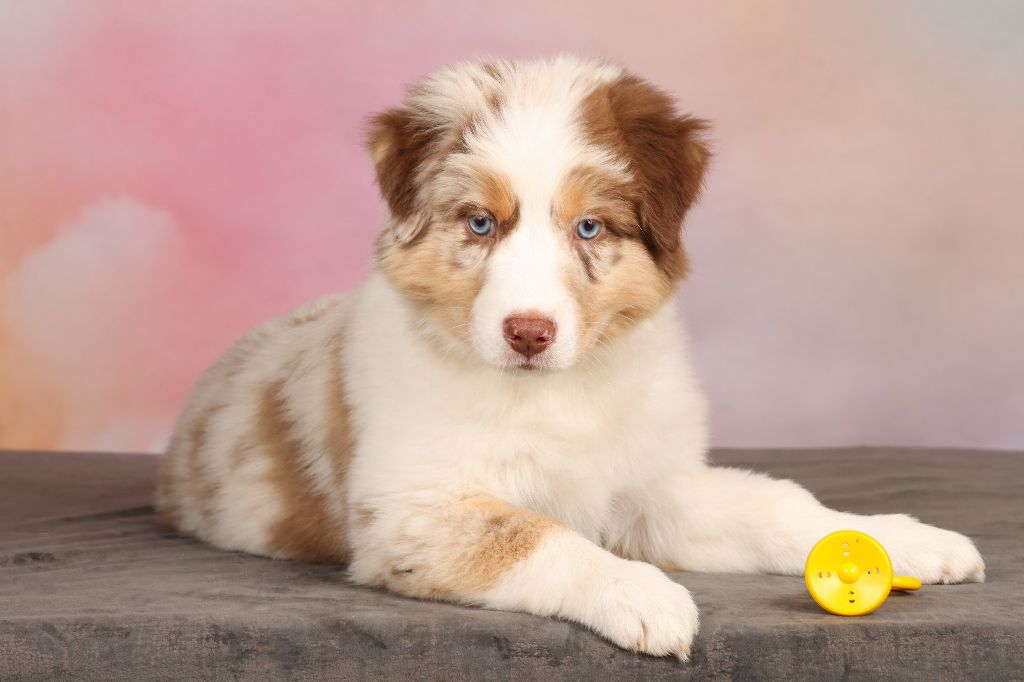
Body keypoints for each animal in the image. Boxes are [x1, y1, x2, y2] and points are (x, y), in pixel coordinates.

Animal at [157, 55, 983, 655]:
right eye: (481, 223)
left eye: (588, 227)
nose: (528, 332)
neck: (560, 391)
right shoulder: (410, 510)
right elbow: (538, 534)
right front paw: (640, 594)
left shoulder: (654, 489)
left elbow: (777, 504)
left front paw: (901, 541)